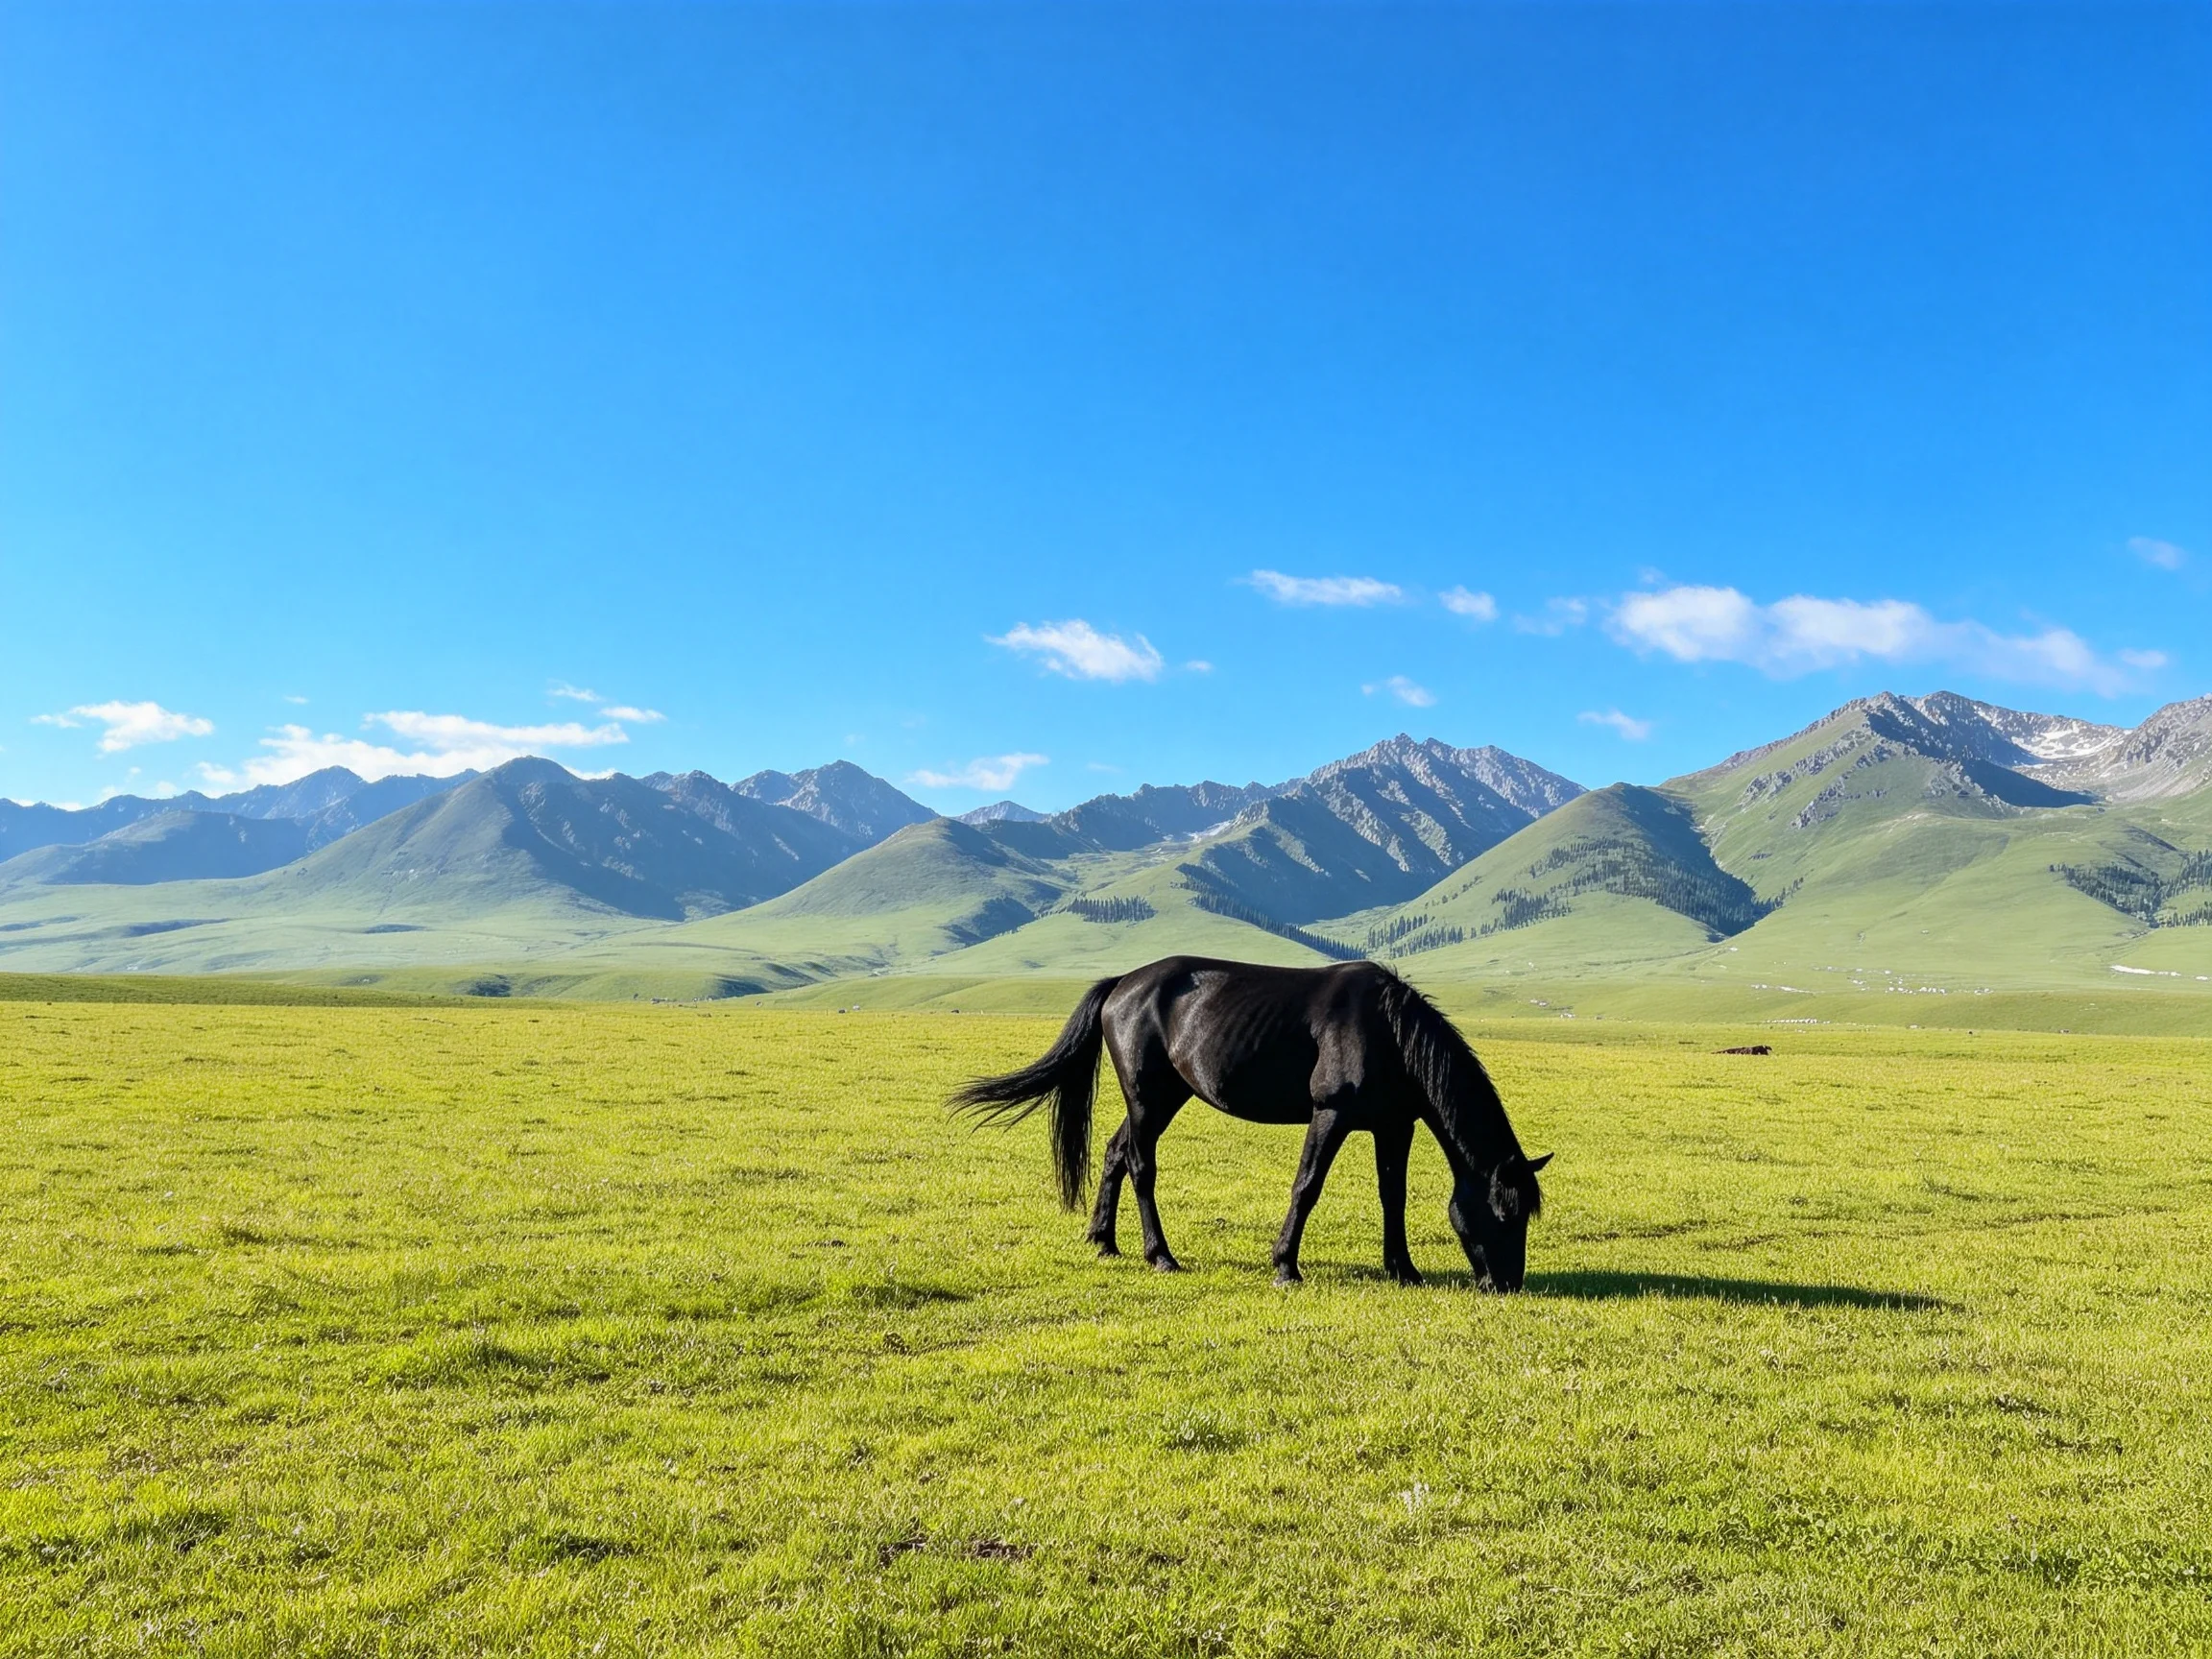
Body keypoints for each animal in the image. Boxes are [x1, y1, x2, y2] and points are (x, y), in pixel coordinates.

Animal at [950, 955, 1551, 1290]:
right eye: (1503, 1214)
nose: (1506, 1284)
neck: (1388, 1031)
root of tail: (1123, 984)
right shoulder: (1330, 1114)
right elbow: (1307, 1187)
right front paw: (1285, 1266)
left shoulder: (1393, 1125)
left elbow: (1393, 1195)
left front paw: (1402, 1270)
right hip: (1147, 1098)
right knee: (1141, 1165)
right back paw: (1160, 1256)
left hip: (1164, 1099)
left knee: (1116, 1153)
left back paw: (1104, 1241)